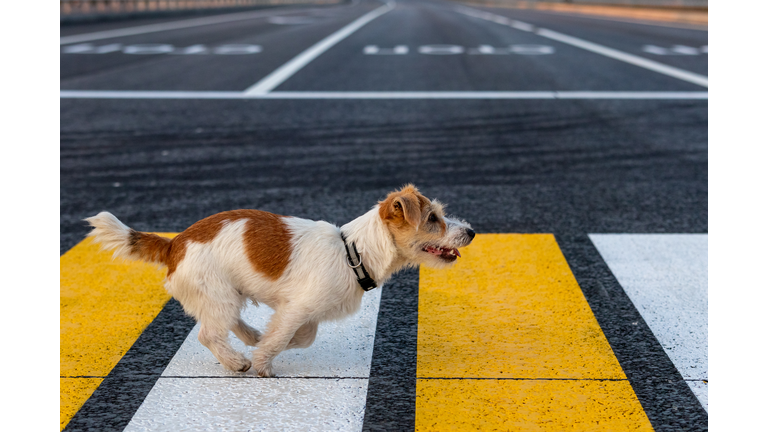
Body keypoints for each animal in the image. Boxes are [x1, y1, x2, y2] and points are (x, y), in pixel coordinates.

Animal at [87, 184, 476, 376]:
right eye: (433, 219)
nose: (471, 232)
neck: (353, 252)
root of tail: (174, 244)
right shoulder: (297, 308)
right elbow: (283, 337)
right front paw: (262, 364)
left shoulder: (302, 312)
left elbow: (300, 337)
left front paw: (263, 343)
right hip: (218, 294)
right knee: (208, 334)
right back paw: (236, 361)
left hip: (224, 295)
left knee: (223, 323)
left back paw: (249, 336)